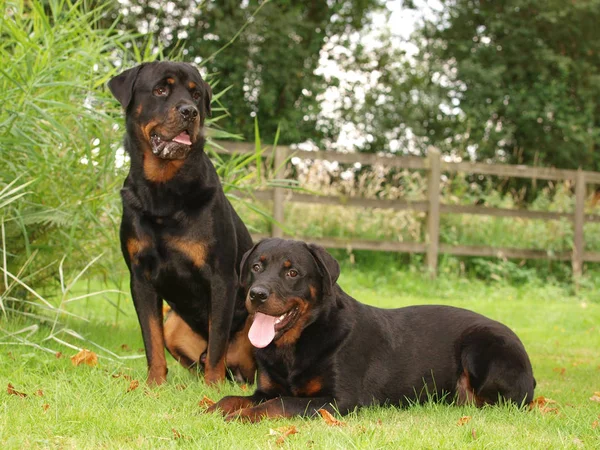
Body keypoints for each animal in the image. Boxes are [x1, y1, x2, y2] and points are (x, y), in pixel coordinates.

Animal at [109, 60, 254, 386]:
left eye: (196, 94)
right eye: (161, 90)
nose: (190, 111)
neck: (163, 191)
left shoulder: (221, 277)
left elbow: (217, 342)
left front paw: (212, 387)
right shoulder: (140, 278)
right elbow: (151, 339)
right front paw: (154, 384)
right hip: (174, 322)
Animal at [209, 239, 536, 422]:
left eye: (292, 273)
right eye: (256, 267)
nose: (257, 294)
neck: (295, 345)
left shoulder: (340, 400)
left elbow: (280, 404)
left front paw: (242, 416)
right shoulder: (265, 389)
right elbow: (233, 398)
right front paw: (213, 410)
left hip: (481, 345)